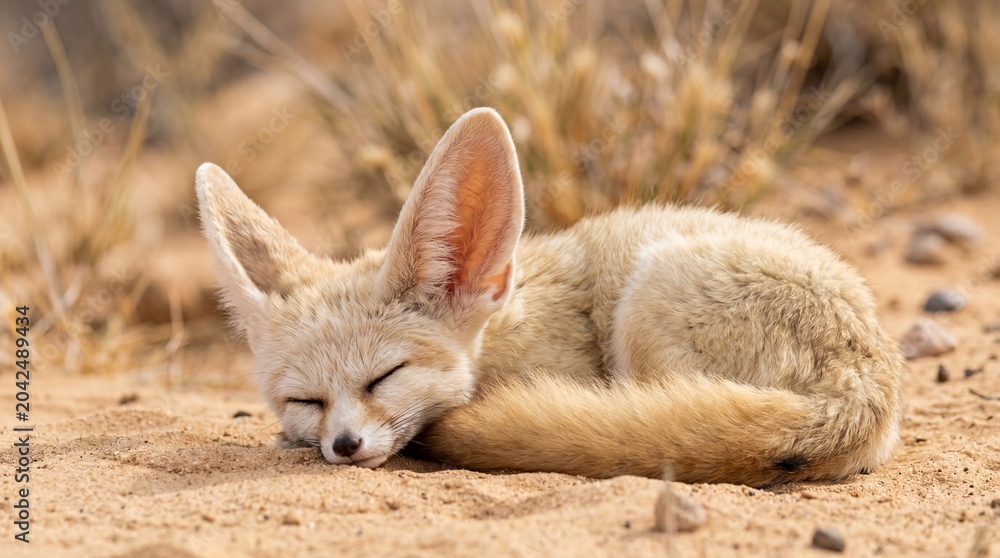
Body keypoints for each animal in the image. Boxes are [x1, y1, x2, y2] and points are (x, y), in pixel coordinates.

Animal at [195, 107, 903, 487]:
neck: (505, 330)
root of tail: (863, 384)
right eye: (305, 401)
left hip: (647, 296)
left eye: (386, 376)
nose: (343, 445)